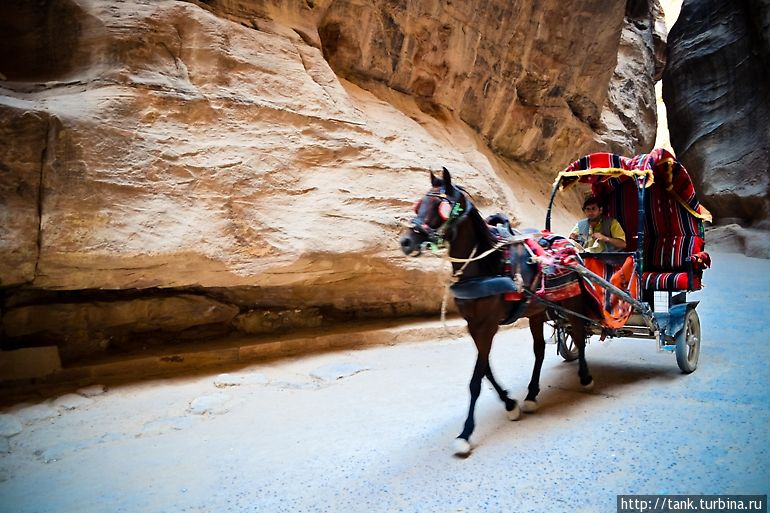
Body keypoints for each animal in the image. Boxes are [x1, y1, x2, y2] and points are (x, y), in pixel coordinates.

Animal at [400, 168, 592, 456]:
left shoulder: (488, 324)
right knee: (540, 350)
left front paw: (466, 433)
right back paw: (531, 395)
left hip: (572, 302)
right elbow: (486, 370)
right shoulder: (474, 325)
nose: (406, 241)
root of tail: (568, 245)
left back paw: (585, 376)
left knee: (579, 335)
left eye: (440, 207)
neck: (484, 264)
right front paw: (510, 404)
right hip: (536, 311)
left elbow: (476, 380)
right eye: (418, 204)